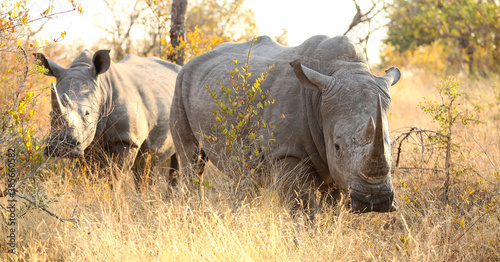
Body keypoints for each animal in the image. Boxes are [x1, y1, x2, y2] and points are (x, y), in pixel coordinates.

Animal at [32, 49, 180, 184]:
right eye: (51, 114)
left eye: (87, 113)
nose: (61, 147)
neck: (102, 89)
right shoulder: (86, 143)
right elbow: (89, 176)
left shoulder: (127, 138)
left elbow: (114, 175)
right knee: (147, 164)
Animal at [170, 35, 400, 213]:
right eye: (337, 146)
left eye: (390, 143)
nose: (375, 202)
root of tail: (189, 62)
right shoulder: (288, 152)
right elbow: (303, 208)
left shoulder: (341, 169)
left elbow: (333, 207)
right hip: (180, 84)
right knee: (191, 160)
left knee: (243, 172)